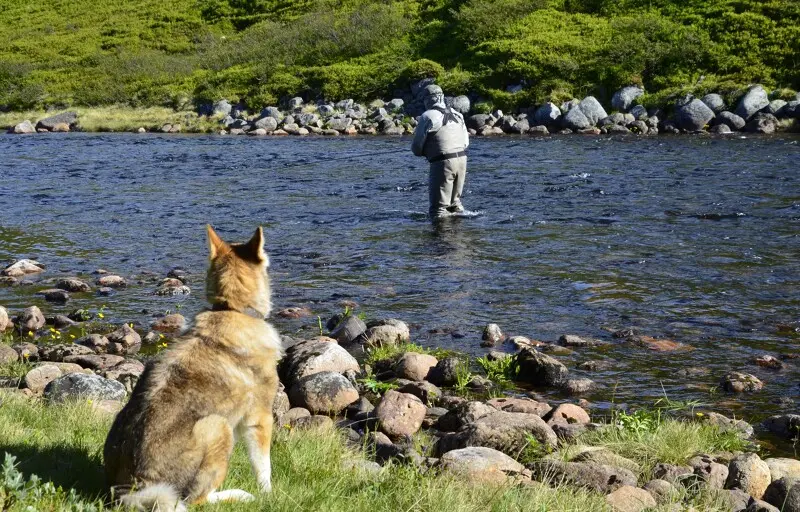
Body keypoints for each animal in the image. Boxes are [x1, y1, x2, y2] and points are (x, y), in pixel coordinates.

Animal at [104, 227, 282, 512]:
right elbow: (263, 468)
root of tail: (133, 487)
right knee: (197, 500)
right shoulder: (259, 419)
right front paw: (270, 496)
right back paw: (239, 495)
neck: (232, 309)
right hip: (219, 427)